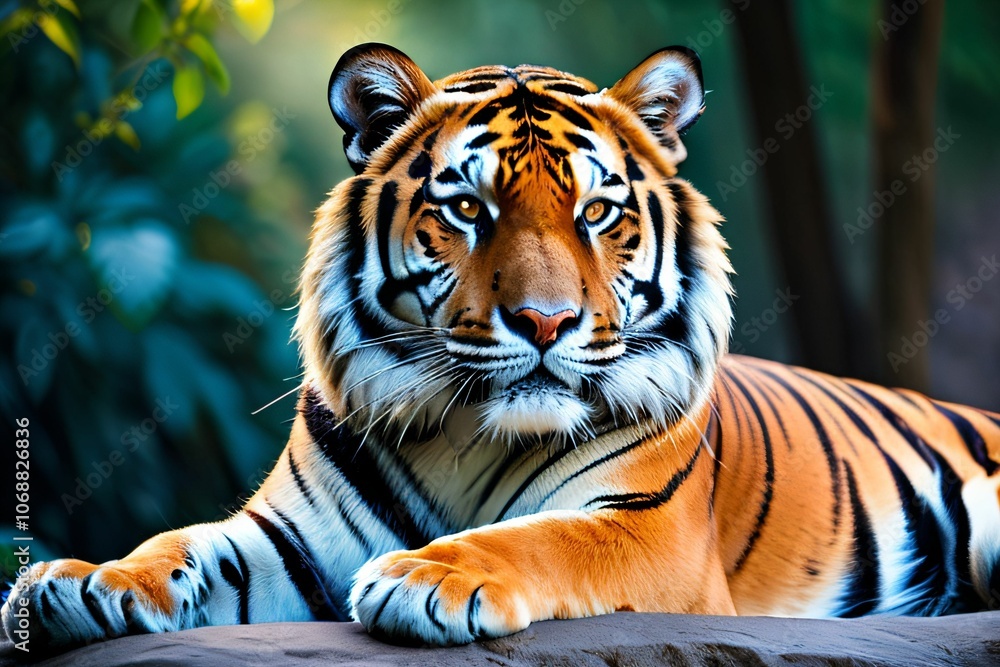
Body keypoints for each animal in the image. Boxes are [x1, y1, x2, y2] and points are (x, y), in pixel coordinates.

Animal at [4, 42, 1000, 653]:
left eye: (596, 211)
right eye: (466, 209)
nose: (546, 322)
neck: (466, 433)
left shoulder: (647, 527)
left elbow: (545, 537)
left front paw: (427, 576)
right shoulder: (288, 538)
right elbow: (183, 542)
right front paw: (78, 580)